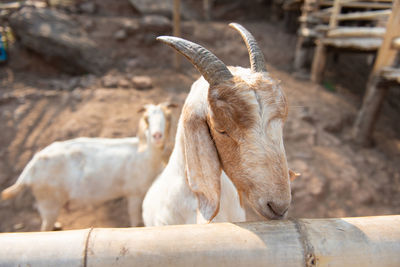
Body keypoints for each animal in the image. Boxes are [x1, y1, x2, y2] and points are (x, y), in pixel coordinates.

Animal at [1, 103, 177, 231]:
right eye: (147, 118)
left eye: (168, 117)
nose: (157, 136)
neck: (146, 155)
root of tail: (30, 168)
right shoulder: (133, 194)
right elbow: (135, 221)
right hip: (49, 200)